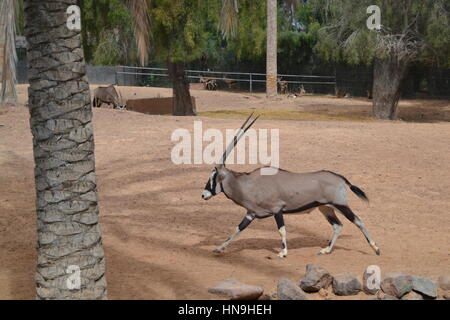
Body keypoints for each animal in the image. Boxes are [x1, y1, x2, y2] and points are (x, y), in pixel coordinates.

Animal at [202, 114, 382, 258]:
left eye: (214, 177)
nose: (204, 195)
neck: (248, 184)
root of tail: (340, 178)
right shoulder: (250, 214)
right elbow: (237, 230)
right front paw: (218, 248)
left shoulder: (277, 210)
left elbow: (281, 230)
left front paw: (283, 252)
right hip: (326, 208)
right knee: (338, 226)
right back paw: (326, 250)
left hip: (340, 205)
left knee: (358, 221)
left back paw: (376, 249)